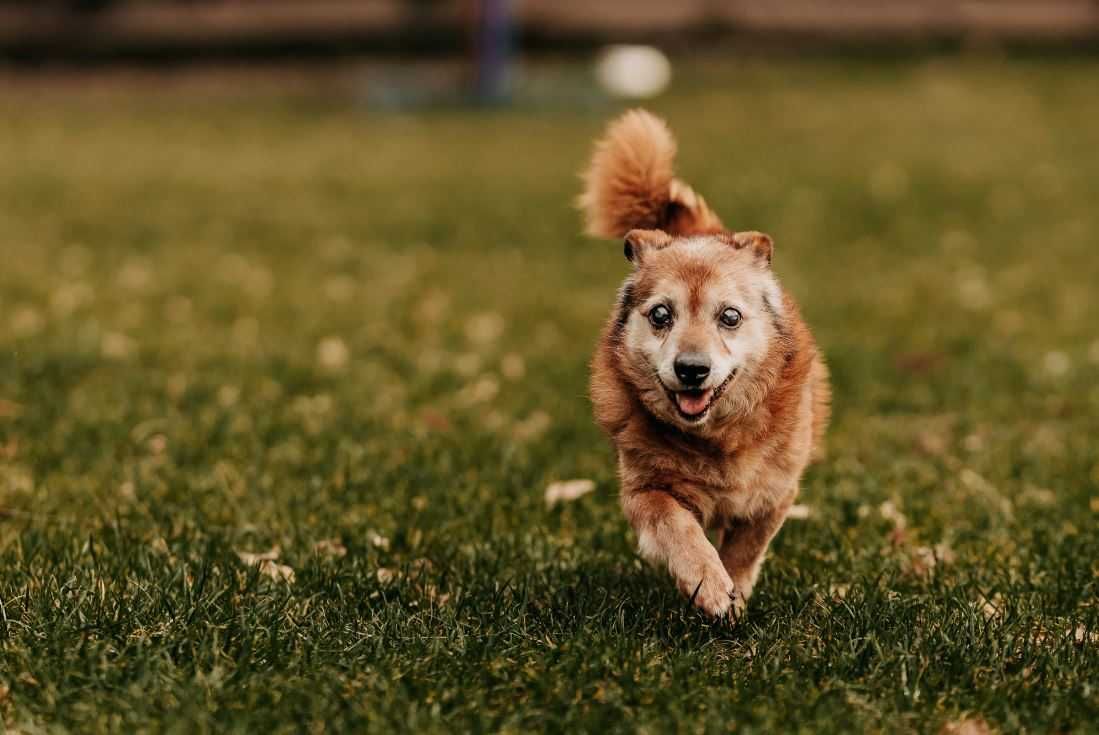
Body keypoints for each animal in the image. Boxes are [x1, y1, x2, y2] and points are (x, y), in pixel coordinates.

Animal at [580, 110, 826, 619]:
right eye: (660, 315)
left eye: (729, 316)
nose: (692, 369)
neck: (714, 440)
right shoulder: (645, 490)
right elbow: (680, 531)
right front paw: (709, 585)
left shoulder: (774, 496)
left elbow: (744, 549)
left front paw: (734, 591)